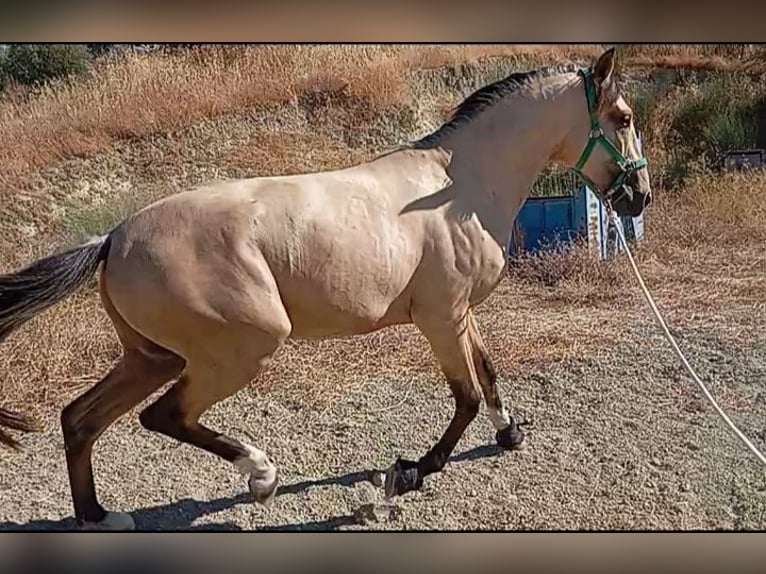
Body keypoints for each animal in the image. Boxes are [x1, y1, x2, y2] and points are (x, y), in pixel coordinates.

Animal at [0, 47, 652, 532]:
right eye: (622, 117)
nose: (639, 198)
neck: (456, 187)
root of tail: (112, 238)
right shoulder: (440, 318)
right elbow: (465, 395)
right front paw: (412, 470)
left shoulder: (461, 314)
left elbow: (488, 375)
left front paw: (510, 433)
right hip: (239, 350)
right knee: (162, 416)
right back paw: (261, 476)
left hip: (151, 356)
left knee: (80, 418)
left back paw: (99, 516)